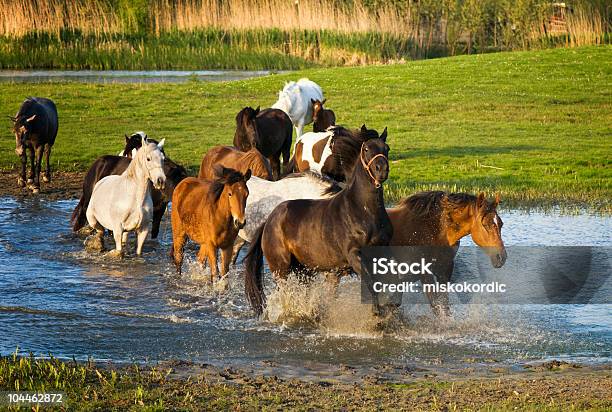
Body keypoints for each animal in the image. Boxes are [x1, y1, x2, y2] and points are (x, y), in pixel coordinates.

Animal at [243, 129, 390, 316]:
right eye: (366, 149)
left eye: (386, 148)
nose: (382, 169)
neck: (362, 210)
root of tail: (269, 220)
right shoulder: (353, 255)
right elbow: (370, 281)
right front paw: (378, 312)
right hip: (281, 269)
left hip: (304, 270)